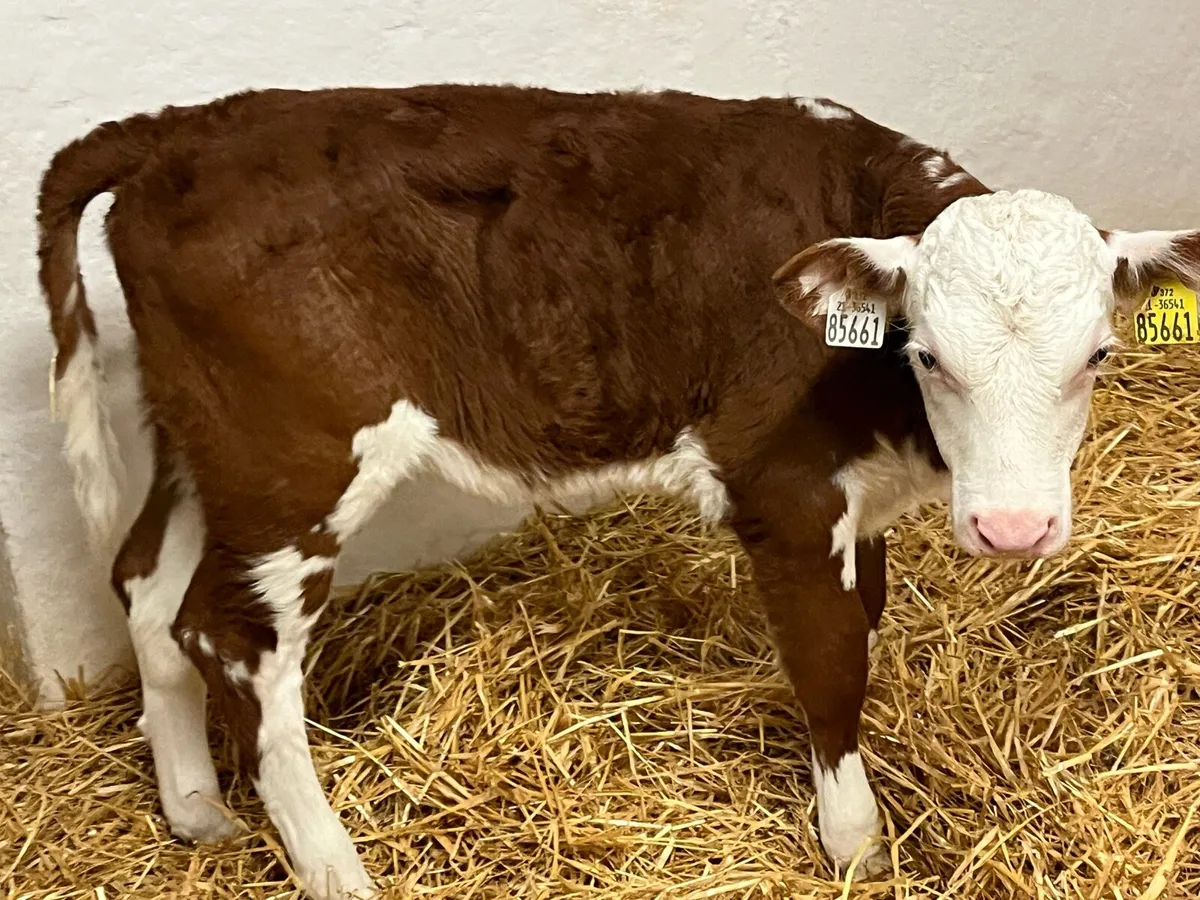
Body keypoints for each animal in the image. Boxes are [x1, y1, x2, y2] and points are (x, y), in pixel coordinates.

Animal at [37, 84, 1200, 898]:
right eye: (927, 355)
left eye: (1099, 355)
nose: (1014, 528)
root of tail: (180, 130)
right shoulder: (782, 490)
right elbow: (832, 667)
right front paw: (856, 849)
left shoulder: (854, 500)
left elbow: (863, 619)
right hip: (294, 458)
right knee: (236, 642)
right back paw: (336, 869)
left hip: (205, 440)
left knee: (146, 586)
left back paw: (194, 809)